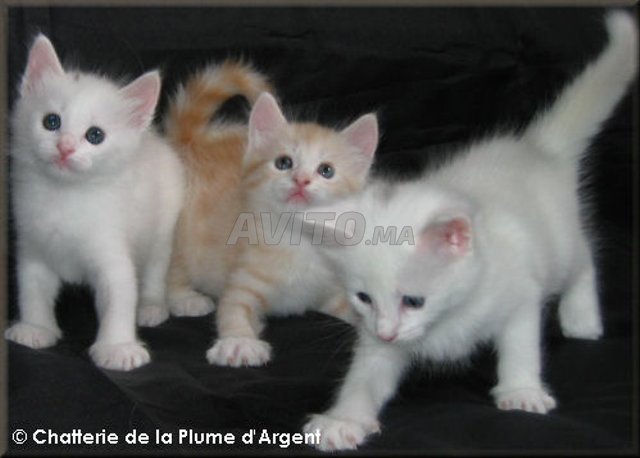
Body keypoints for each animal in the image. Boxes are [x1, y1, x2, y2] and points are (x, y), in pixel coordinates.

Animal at [5, 35, 185, 372]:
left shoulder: (112, 252)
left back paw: (152, 307)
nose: (65, 147)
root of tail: (155, 140)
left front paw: (118, 348)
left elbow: (119, 298)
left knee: (156, 268)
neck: (65, 196)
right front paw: (35, 329)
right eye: (51, 121)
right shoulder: (34, 248)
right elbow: (32, 290)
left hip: (163, 230)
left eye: (95, 135)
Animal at [165, 61, 380, 368]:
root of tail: (191, 144)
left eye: (326, 170)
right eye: (284, 163)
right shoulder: (243, 278)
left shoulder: (327, 289)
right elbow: (232, 309)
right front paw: (239, 342)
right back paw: (185, 298)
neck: (301, 241)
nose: (301, 180)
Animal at [302, 11, 640, 450]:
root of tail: (537, 149)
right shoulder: (378, 340)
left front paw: (522, 391)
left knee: (584, 259)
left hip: (560, 244)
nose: (389, 333)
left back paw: (581, 318)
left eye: (414, 301)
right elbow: (365, 376)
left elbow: (520, 346)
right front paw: (343, 420)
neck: (448, 317)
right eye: (363, 298)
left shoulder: (520, 294)